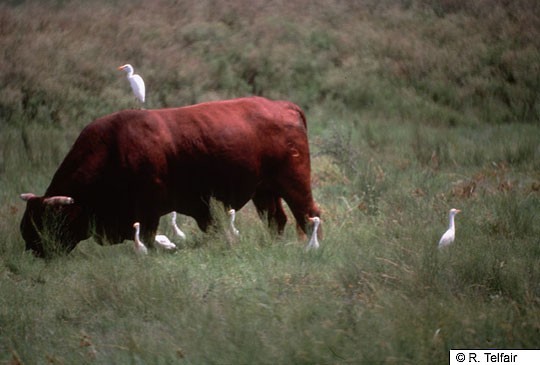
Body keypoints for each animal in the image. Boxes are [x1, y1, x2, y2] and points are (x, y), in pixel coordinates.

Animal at [20, 96, 320, 256]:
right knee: (277, 219)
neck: (113, 147)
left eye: (46, 220)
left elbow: (148, 235)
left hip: (294, 184)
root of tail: (284, 106)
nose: (32, 246)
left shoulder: (148, 210)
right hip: (264, 192)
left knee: (308, 215)